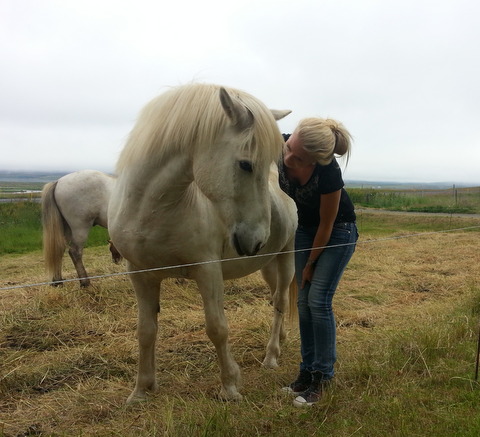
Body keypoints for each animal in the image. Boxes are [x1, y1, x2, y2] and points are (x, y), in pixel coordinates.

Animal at [109, 83, 296, 404]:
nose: (257, 239)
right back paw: (280, 342)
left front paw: (230, 387)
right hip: (268, 265)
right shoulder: (140, 275)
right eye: (245, 164)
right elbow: (146, 331)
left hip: (286, 257)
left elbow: (217, 328)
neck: (151, 211)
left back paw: (271, 356)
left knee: (281, 302)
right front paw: (141, 390)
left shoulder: (208, 271)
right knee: (275, 299)